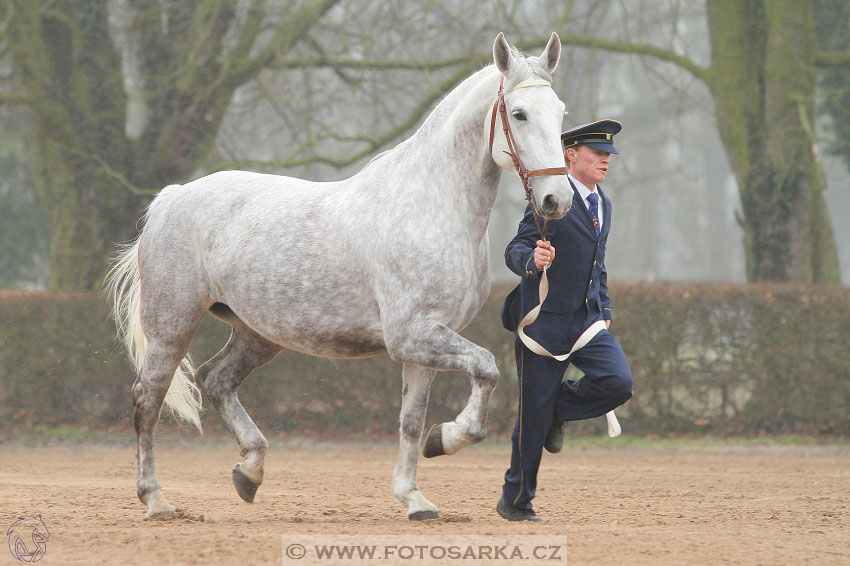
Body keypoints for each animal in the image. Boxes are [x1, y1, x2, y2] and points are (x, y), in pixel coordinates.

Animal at [107, 30, 568, 520]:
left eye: (559, 112)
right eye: (519, 114)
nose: (557, 200)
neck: (432, 207)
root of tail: (172, 198)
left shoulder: (423, 344)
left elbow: (411, 420)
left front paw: (414, 497)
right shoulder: (412, 335)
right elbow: (487, 369)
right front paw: (445, 439)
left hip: (258, 332)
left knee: (216, 379)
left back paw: (249, 472)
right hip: (172, 324)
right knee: (148, 398)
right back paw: (156, 499)